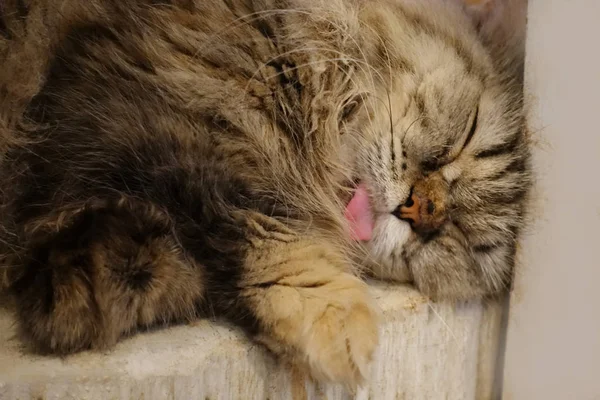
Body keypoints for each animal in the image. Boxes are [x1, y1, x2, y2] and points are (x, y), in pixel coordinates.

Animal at [0, 0, 528, 388]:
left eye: (456, 237)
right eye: (465, 135)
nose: (421, 210)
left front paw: (84, 294)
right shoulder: (156, 121)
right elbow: (262, 229)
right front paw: (336, 322)